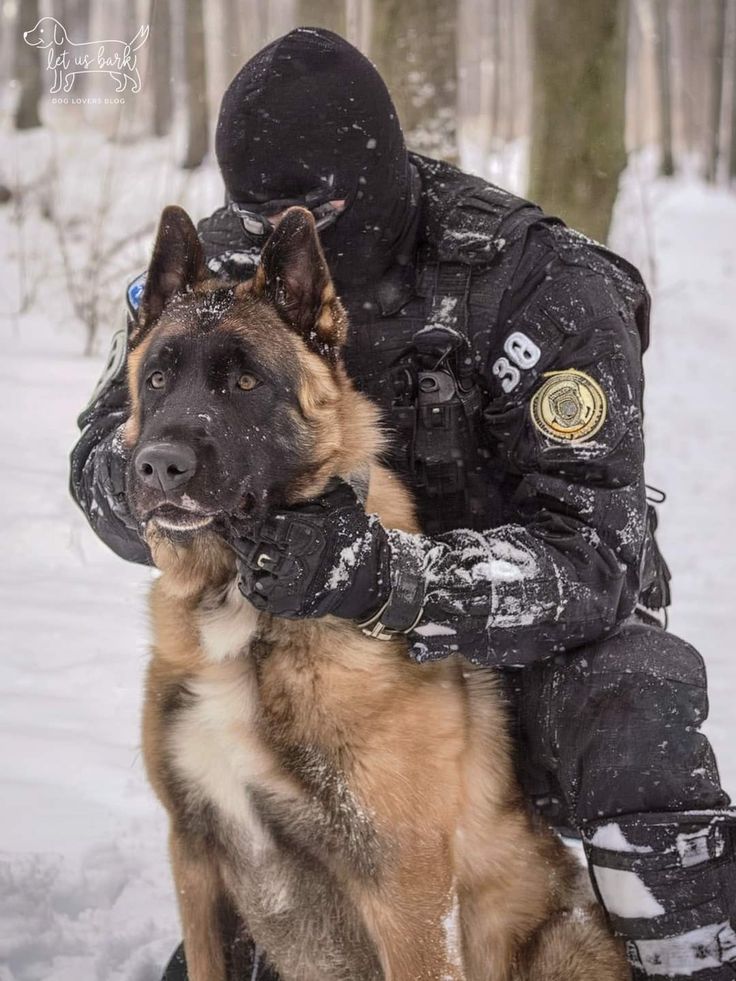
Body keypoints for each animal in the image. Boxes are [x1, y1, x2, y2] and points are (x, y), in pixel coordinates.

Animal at [122, 201, 628, 980]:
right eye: (156, 380)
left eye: (245, 384)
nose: (158, 467)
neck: (241, 608)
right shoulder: (196, 857)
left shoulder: (405, 888)